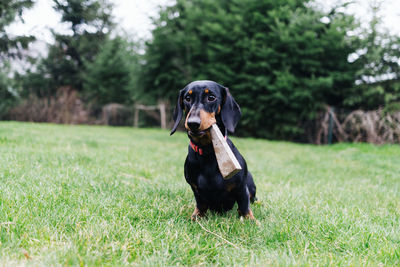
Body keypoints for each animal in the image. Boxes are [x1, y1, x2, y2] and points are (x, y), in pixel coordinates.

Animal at [170, 80, 256, 221]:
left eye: (211, 97)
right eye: (187, 98)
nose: (193, 123)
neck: (209, 152)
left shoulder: (241, 187)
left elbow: (244, 205)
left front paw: (250, 220)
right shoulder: (196, 189)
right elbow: (201, 205)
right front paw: (196, 217)